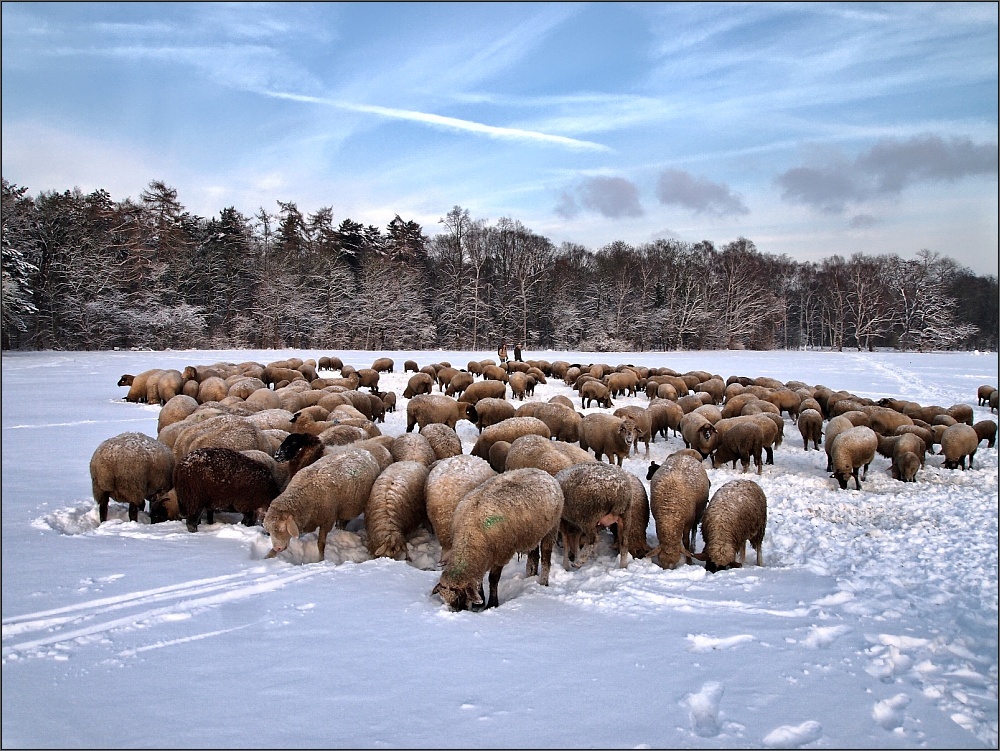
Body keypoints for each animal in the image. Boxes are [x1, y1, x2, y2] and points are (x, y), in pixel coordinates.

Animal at [434, 470, 568, 612]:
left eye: (460, 597)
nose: (457, 612)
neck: (470, 532)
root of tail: (543, 472)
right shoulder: (483, 557)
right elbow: (479, 580)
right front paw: (481, 600)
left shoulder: (502, 554)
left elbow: (493, 579)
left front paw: (492, 603)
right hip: (533, 534)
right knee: (534, 556)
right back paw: (530, 576)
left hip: (552, 528)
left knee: (546, 559)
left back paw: (543, 583)